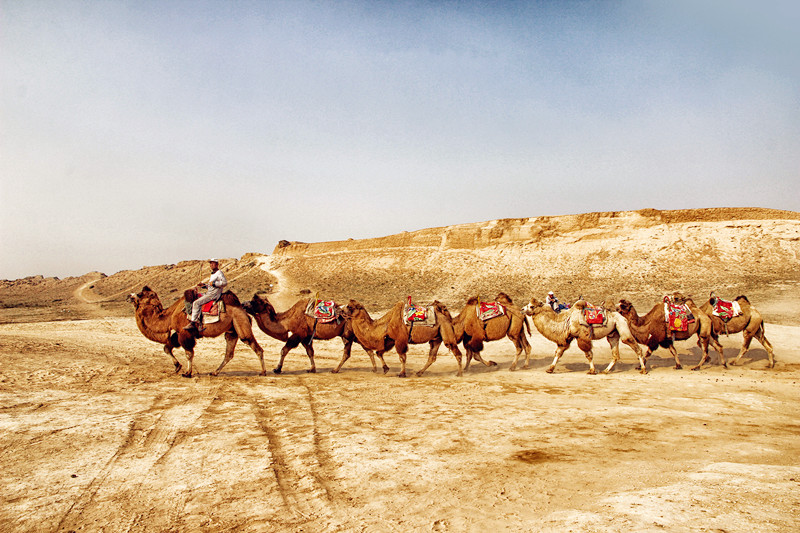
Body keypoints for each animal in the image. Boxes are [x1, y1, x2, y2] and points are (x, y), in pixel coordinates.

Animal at [126, 284, 268, 376]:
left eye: (139, 294)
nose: (129, 296)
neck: (169, 316)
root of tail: (243, 310)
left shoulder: (184, 332)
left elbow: (188, 353)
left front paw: (187, 373)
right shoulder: (177, 333)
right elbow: (167, 348)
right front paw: (177, 367)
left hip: (241, 324)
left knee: (256, 347)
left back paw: (263, 372)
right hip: (231, 331)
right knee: (229, 353)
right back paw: (215, 372)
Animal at [241, 296, 378, 374]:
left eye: (255, 301)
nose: (242, 304)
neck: (287, 321)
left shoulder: (298, 334)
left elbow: (284, 350)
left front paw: (277, 369)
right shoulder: (306, 337)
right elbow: (310, 352)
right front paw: (312, 369)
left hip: (349, 335)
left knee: (348, 353)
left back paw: (335, 370)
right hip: (353, 335)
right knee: (366, 349)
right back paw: (374, 369)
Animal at [520, 296, 648, 374]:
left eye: (531, 306)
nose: (522, 309)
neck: (566, 320)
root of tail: (621, 315)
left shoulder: (582, 337)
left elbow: (588, 354)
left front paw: (592, 371)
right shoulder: (566, 339)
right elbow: (558, 352)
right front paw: (550, 369)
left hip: (622, 326)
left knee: (634, 346)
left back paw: (643, 369)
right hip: (613, 333)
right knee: (615, 353)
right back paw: (606, 371)